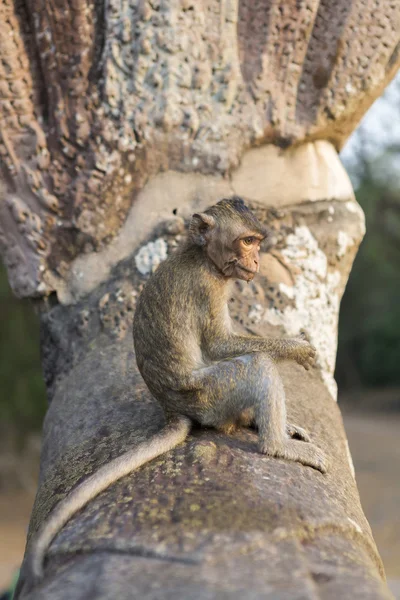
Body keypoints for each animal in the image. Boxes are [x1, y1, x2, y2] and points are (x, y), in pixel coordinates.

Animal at [23, 198, 326, 592]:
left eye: (257, 242)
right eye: (246, 241)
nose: (258, 261)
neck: (201, 255)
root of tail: (171, 408)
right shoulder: (207, 287)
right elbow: (219, 344)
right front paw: (297, 347)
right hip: (208, 397)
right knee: (256, 366)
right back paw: (276, 444)